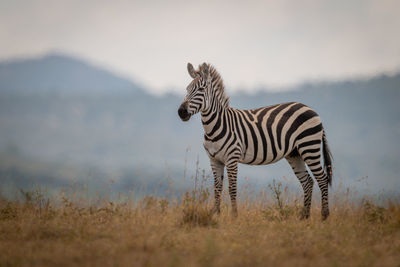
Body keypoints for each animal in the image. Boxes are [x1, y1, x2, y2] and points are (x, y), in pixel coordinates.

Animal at [177, 62, 332, 220]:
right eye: (187, 89)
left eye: (201, 89)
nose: (181, 112)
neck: (214, 127)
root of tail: (311, 110)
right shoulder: (214, 160)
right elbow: (217, 188)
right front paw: (216, 215)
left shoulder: (232, 158)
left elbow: (232, 188)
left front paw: (234, 216)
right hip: (294, 153)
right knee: (308, 181)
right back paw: (304, 217)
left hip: (309, 146)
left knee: (322, 178)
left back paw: (324, 216)